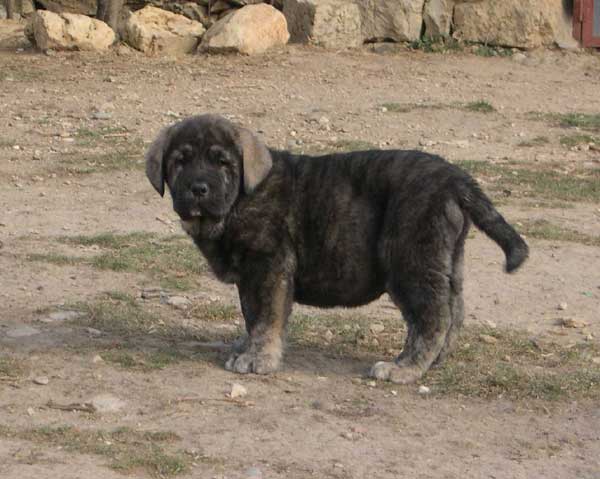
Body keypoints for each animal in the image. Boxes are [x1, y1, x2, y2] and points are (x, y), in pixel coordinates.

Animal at [146, 114, 528, 384]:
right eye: (180, 161)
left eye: (222, 162)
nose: (198, 189)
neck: (241, 198)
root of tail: (456, 180)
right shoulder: (251, 278)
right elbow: (251, 314)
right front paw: (247, 346)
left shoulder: (268, 268)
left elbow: (266, 317)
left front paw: (258, 358)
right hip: (446, 260)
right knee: (455, 310)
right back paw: (435, 361)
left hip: (411, 262)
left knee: (432, 317)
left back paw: (406, 368)